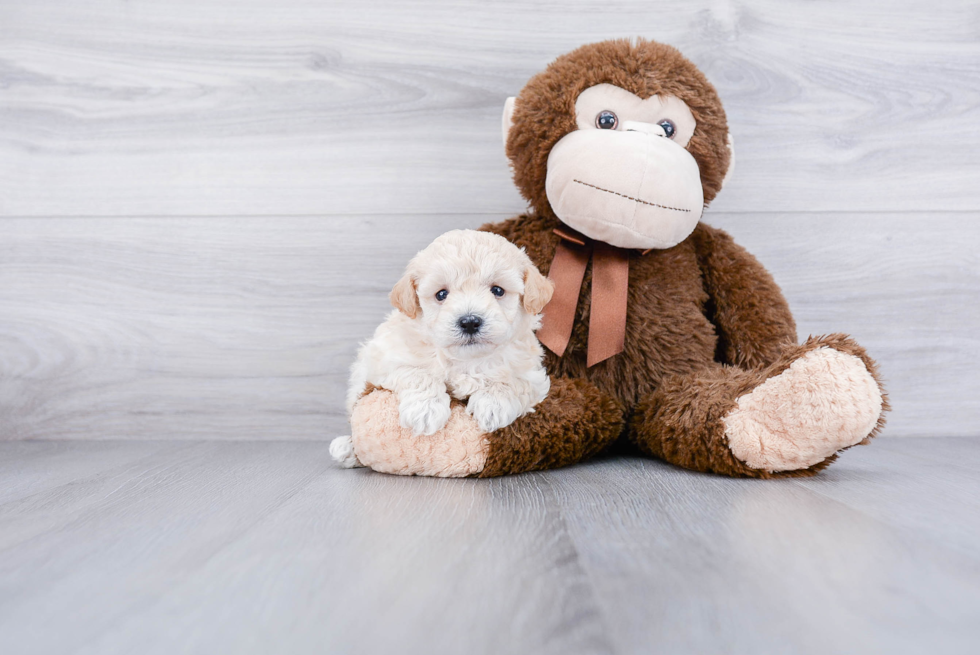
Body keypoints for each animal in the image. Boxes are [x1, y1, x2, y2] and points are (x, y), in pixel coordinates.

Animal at [330, 229, 556, 466]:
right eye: (441, 294)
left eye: (497, 290)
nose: (469, 322)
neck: (468, 361)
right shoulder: (384, 360)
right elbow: (417, 373)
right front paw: (425, 410)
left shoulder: (533, 376)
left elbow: (514, 382)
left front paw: (493, 405)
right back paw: (346, 448)